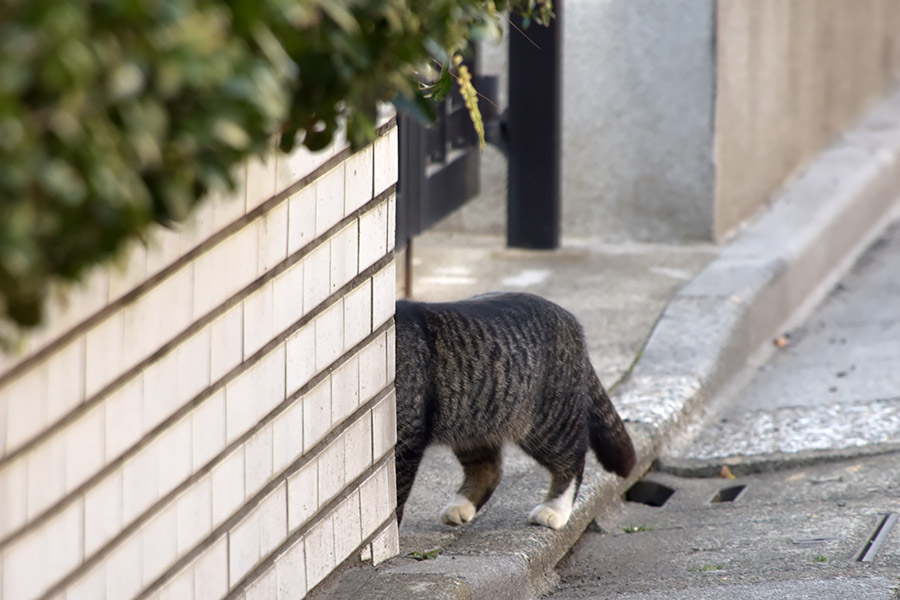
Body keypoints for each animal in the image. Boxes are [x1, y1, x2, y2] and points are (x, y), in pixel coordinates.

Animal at [398, 292, 636, 528]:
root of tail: (569, 319)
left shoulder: (406, 441)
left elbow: (398, 496)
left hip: (550, 425)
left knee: (573, 460)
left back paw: (555, 509)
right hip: (470, 422)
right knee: (488, 470)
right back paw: (462, 506)